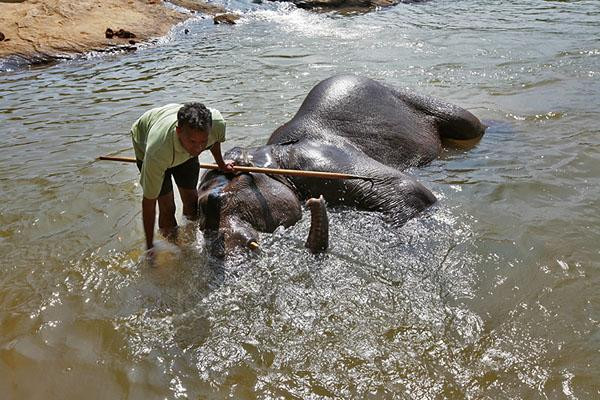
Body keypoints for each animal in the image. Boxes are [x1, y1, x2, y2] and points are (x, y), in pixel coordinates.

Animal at [199, 74, 486, 256]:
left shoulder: (323, 161)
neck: (268, 158)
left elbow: (411, 191)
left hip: (413, 98)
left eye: (214, 202)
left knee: (469, 124)